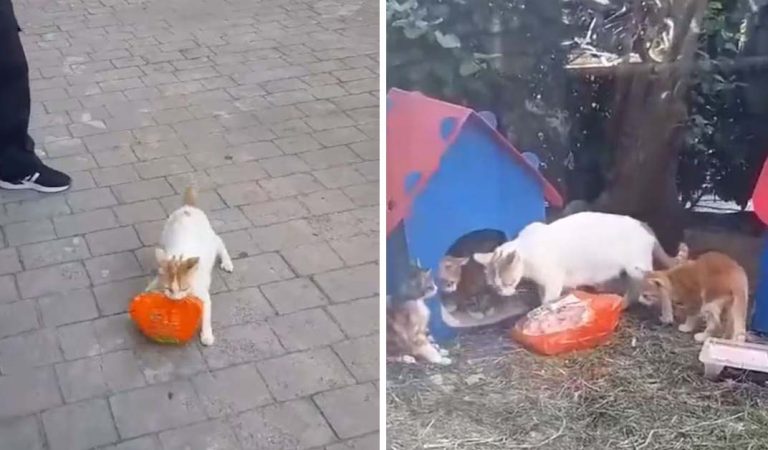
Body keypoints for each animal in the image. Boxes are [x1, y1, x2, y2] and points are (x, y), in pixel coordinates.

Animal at [147, 186, 234, 344]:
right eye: (169, 288)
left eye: (184, 288)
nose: (175, 300)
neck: (181, 256)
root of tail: (189, 208)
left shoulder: (203, 295)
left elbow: (206, 313)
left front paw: (207, 335)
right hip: (164, 236)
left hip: (211, 239)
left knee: (220, 242)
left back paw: (227, 262)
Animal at [474, 210, 684, 320]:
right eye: (494, 285)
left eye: (507, 282)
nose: (503, 293)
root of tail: (644, 224)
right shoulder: (544, 282)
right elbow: (544, 296)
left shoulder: (553, 279)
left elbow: (548, 299)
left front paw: (545, 312)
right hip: (631, 273)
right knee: (635, 289)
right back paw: (623, 304)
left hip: (637, 269)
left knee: (661, 283)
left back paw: (666, 315)